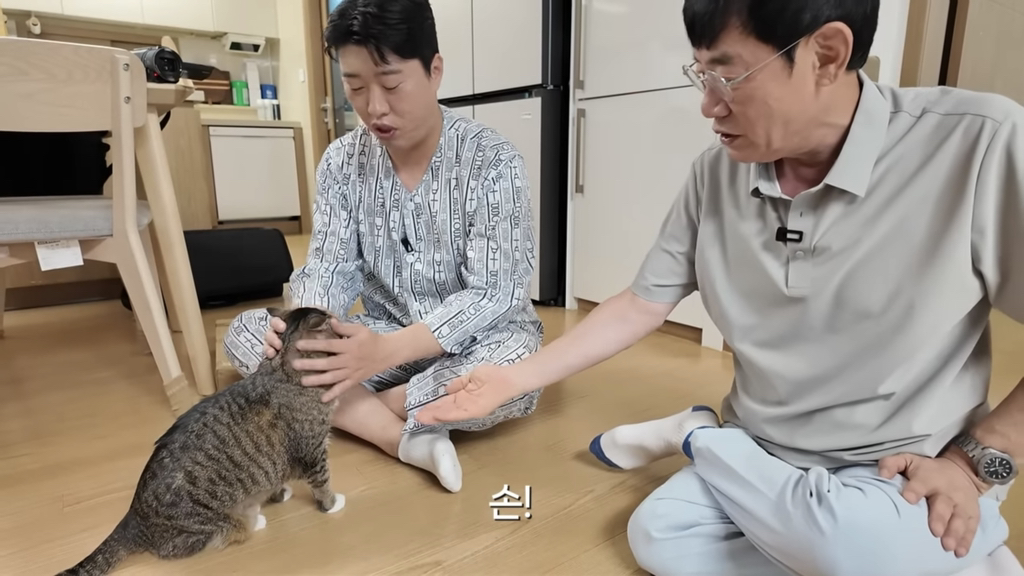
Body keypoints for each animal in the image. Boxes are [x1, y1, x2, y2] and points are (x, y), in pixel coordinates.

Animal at [58, 306, 346, 576]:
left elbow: (276, 476)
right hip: (205, 526)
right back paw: (253, 520)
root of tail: (133, 518)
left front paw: (281, 492)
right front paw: (332, 504)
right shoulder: (314, 451)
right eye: (333, 323)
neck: (283, 369)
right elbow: (323, 483)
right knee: (212, 536)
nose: (343, 326)